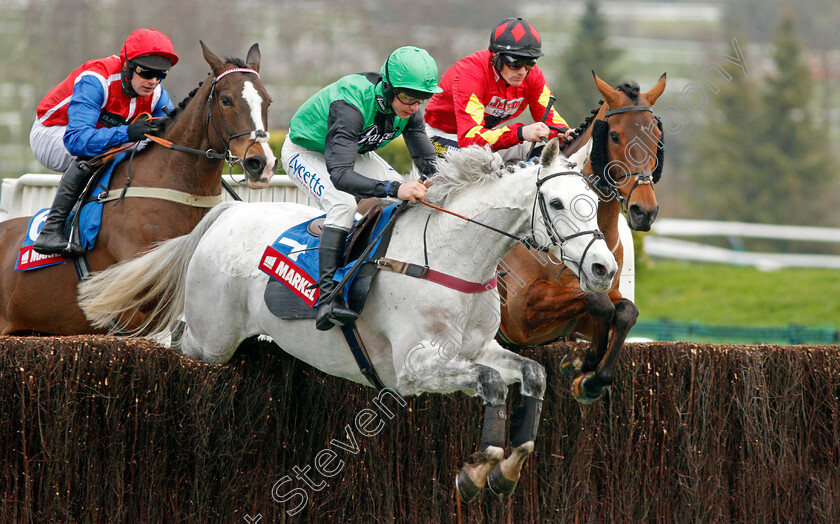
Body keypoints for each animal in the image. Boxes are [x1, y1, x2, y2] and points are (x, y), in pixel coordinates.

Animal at [79, 142, 616, 504]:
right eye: (558, 203)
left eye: (592, 200)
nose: (603, 269)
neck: (452, 257)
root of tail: (226, 213)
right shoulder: (415, 368)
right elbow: (491, 384)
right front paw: (478, 470)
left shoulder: (477, 349)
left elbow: (532, 374)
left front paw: (508, 467)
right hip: (210, 341)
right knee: (176, 344)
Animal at [496, 71, 668, 404]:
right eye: (615, 136)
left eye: (656, 136)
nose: (644, 211)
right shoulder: (520, 316)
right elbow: (597, 301)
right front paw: (583, 362)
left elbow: (624, 311)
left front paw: (589, 374)